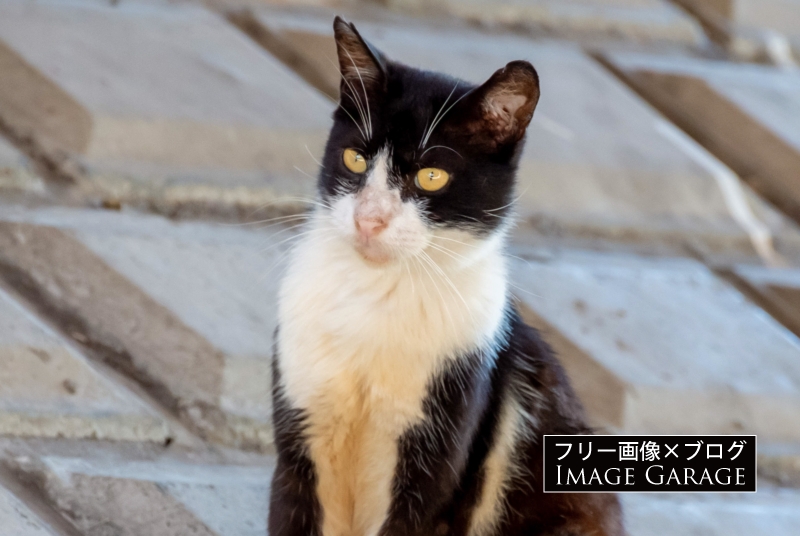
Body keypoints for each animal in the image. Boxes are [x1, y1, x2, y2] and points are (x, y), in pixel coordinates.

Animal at [270, 15, 624, 536]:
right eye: (355, 159)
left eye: (431, 177)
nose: (369, 219)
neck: (376, 299)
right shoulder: (300, 432)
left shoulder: (447, 441)